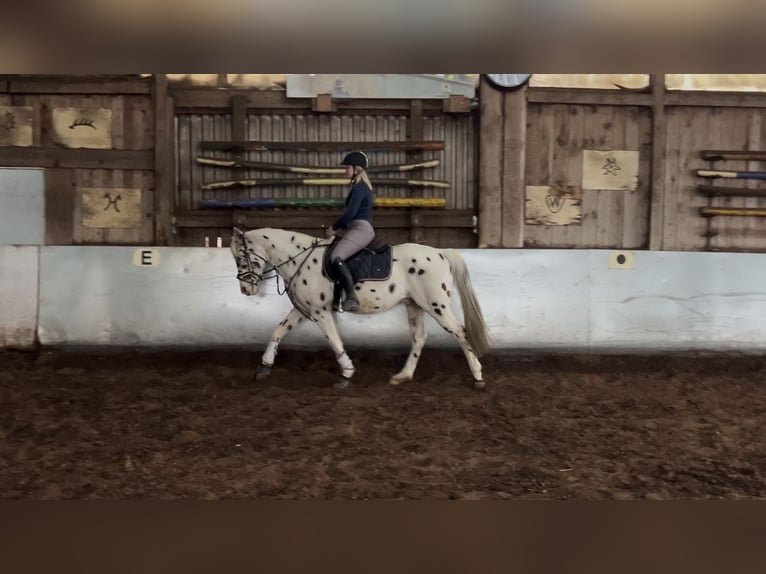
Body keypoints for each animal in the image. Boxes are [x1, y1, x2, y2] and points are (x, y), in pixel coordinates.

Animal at [231, 228, 492, 392]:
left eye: (241, 257)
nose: (245, 289)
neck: (299, 259)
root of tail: (440, 253)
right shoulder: (304, 310)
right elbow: (278, 330)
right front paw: (264, 367)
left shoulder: (320, 312)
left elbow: (335, 341)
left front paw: (346, 374)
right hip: (414, 305)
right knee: (419, 337)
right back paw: (402, 376)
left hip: (436, 305)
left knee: (460, 332)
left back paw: (478, 376)